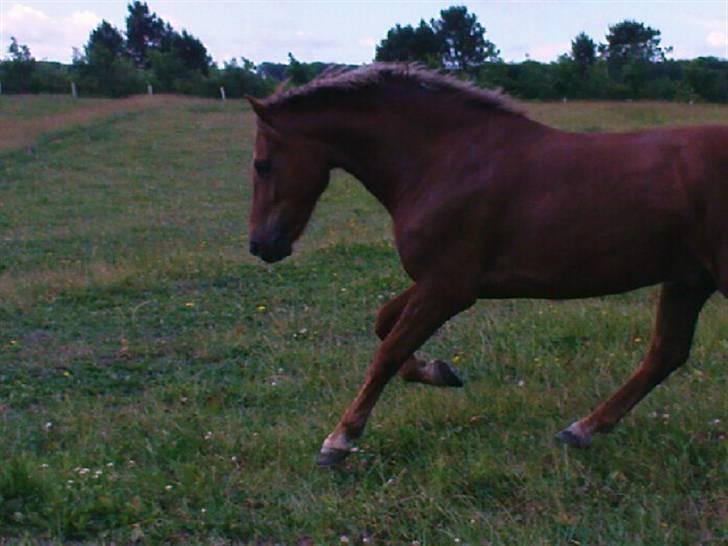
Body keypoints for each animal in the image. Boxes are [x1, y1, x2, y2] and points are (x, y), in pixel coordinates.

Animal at [244, 64, 727, 466]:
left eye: (262, 164)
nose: (261, 245)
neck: (442, 160)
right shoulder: (444, 281)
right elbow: (385, 325)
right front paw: (440, 372)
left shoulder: (449, 288)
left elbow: (387, 352)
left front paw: (338, 441)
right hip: (688, 279)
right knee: (665, 354)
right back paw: (581, 430)